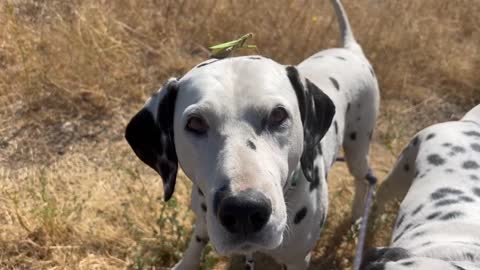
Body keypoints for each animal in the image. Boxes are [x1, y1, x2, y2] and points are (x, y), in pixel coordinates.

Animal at [125, 1, 380, 268]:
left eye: (278, 115)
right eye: (195, 123)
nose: (243, 210)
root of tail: (351, 49)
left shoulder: (298, 259)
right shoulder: (203, 217)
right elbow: (198, 240)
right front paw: (187, 262)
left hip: (358, 149)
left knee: (364, 178)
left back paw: (358, 215)